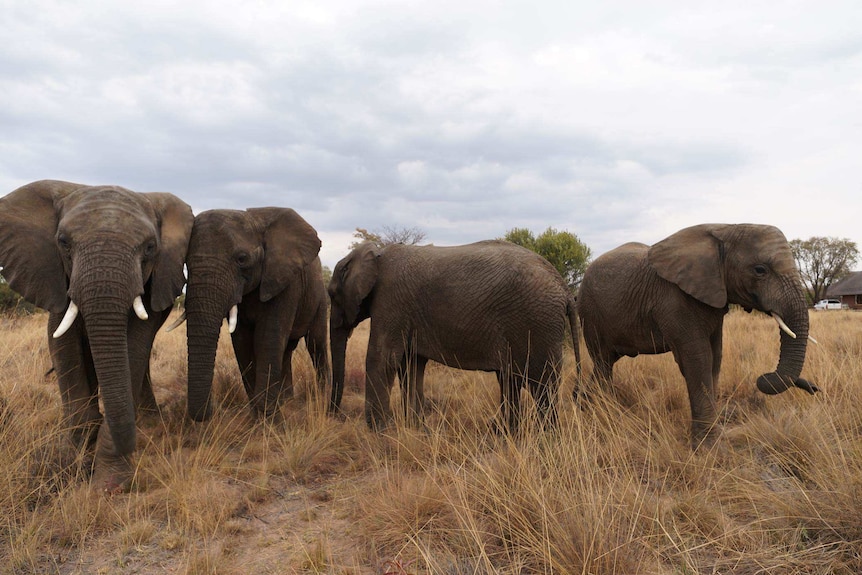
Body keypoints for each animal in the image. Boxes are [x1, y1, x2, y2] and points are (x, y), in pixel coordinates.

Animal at [0, 179, 192, 490]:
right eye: (63, 242)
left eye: (150, 248)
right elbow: (63, 346)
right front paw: (77, 452)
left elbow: (133, 349)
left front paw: (110, 484)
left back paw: (149, 423)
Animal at [179, 208, 330, 424]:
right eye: (186, 262)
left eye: (242, 259)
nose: (213, 410)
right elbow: (242, 343)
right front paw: (257, 418)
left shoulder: (283, 280)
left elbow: (266, 339)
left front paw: (271, 422)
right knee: (286, 350)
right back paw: (286, 401)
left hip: (319, 299)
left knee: (316, 344)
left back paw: (323, 398)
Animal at [328, 241, 584, 434]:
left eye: (331, 294)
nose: (333, 415)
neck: (376, 254)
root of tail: (564, 288)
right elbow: (412, 365)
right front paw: (417, 430)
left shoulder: (390, 300)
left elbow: (382, 358)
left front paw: (379, 432)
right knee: (511, 380)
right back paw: (506, 434)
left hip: (538, 322)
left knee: (542, 384)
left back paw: (545, 439)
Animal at [580, 223, 816, 448]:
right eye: (760, 270)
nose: (814, 389)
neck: (725, 227)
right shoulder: (674, 300)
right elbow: (699, 359)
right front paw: (708, 447)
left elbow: (715, 357)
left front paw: (714, 437)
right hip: (590, 313)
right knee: (602, 363)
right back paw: (601, 412)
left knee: (604, 365)